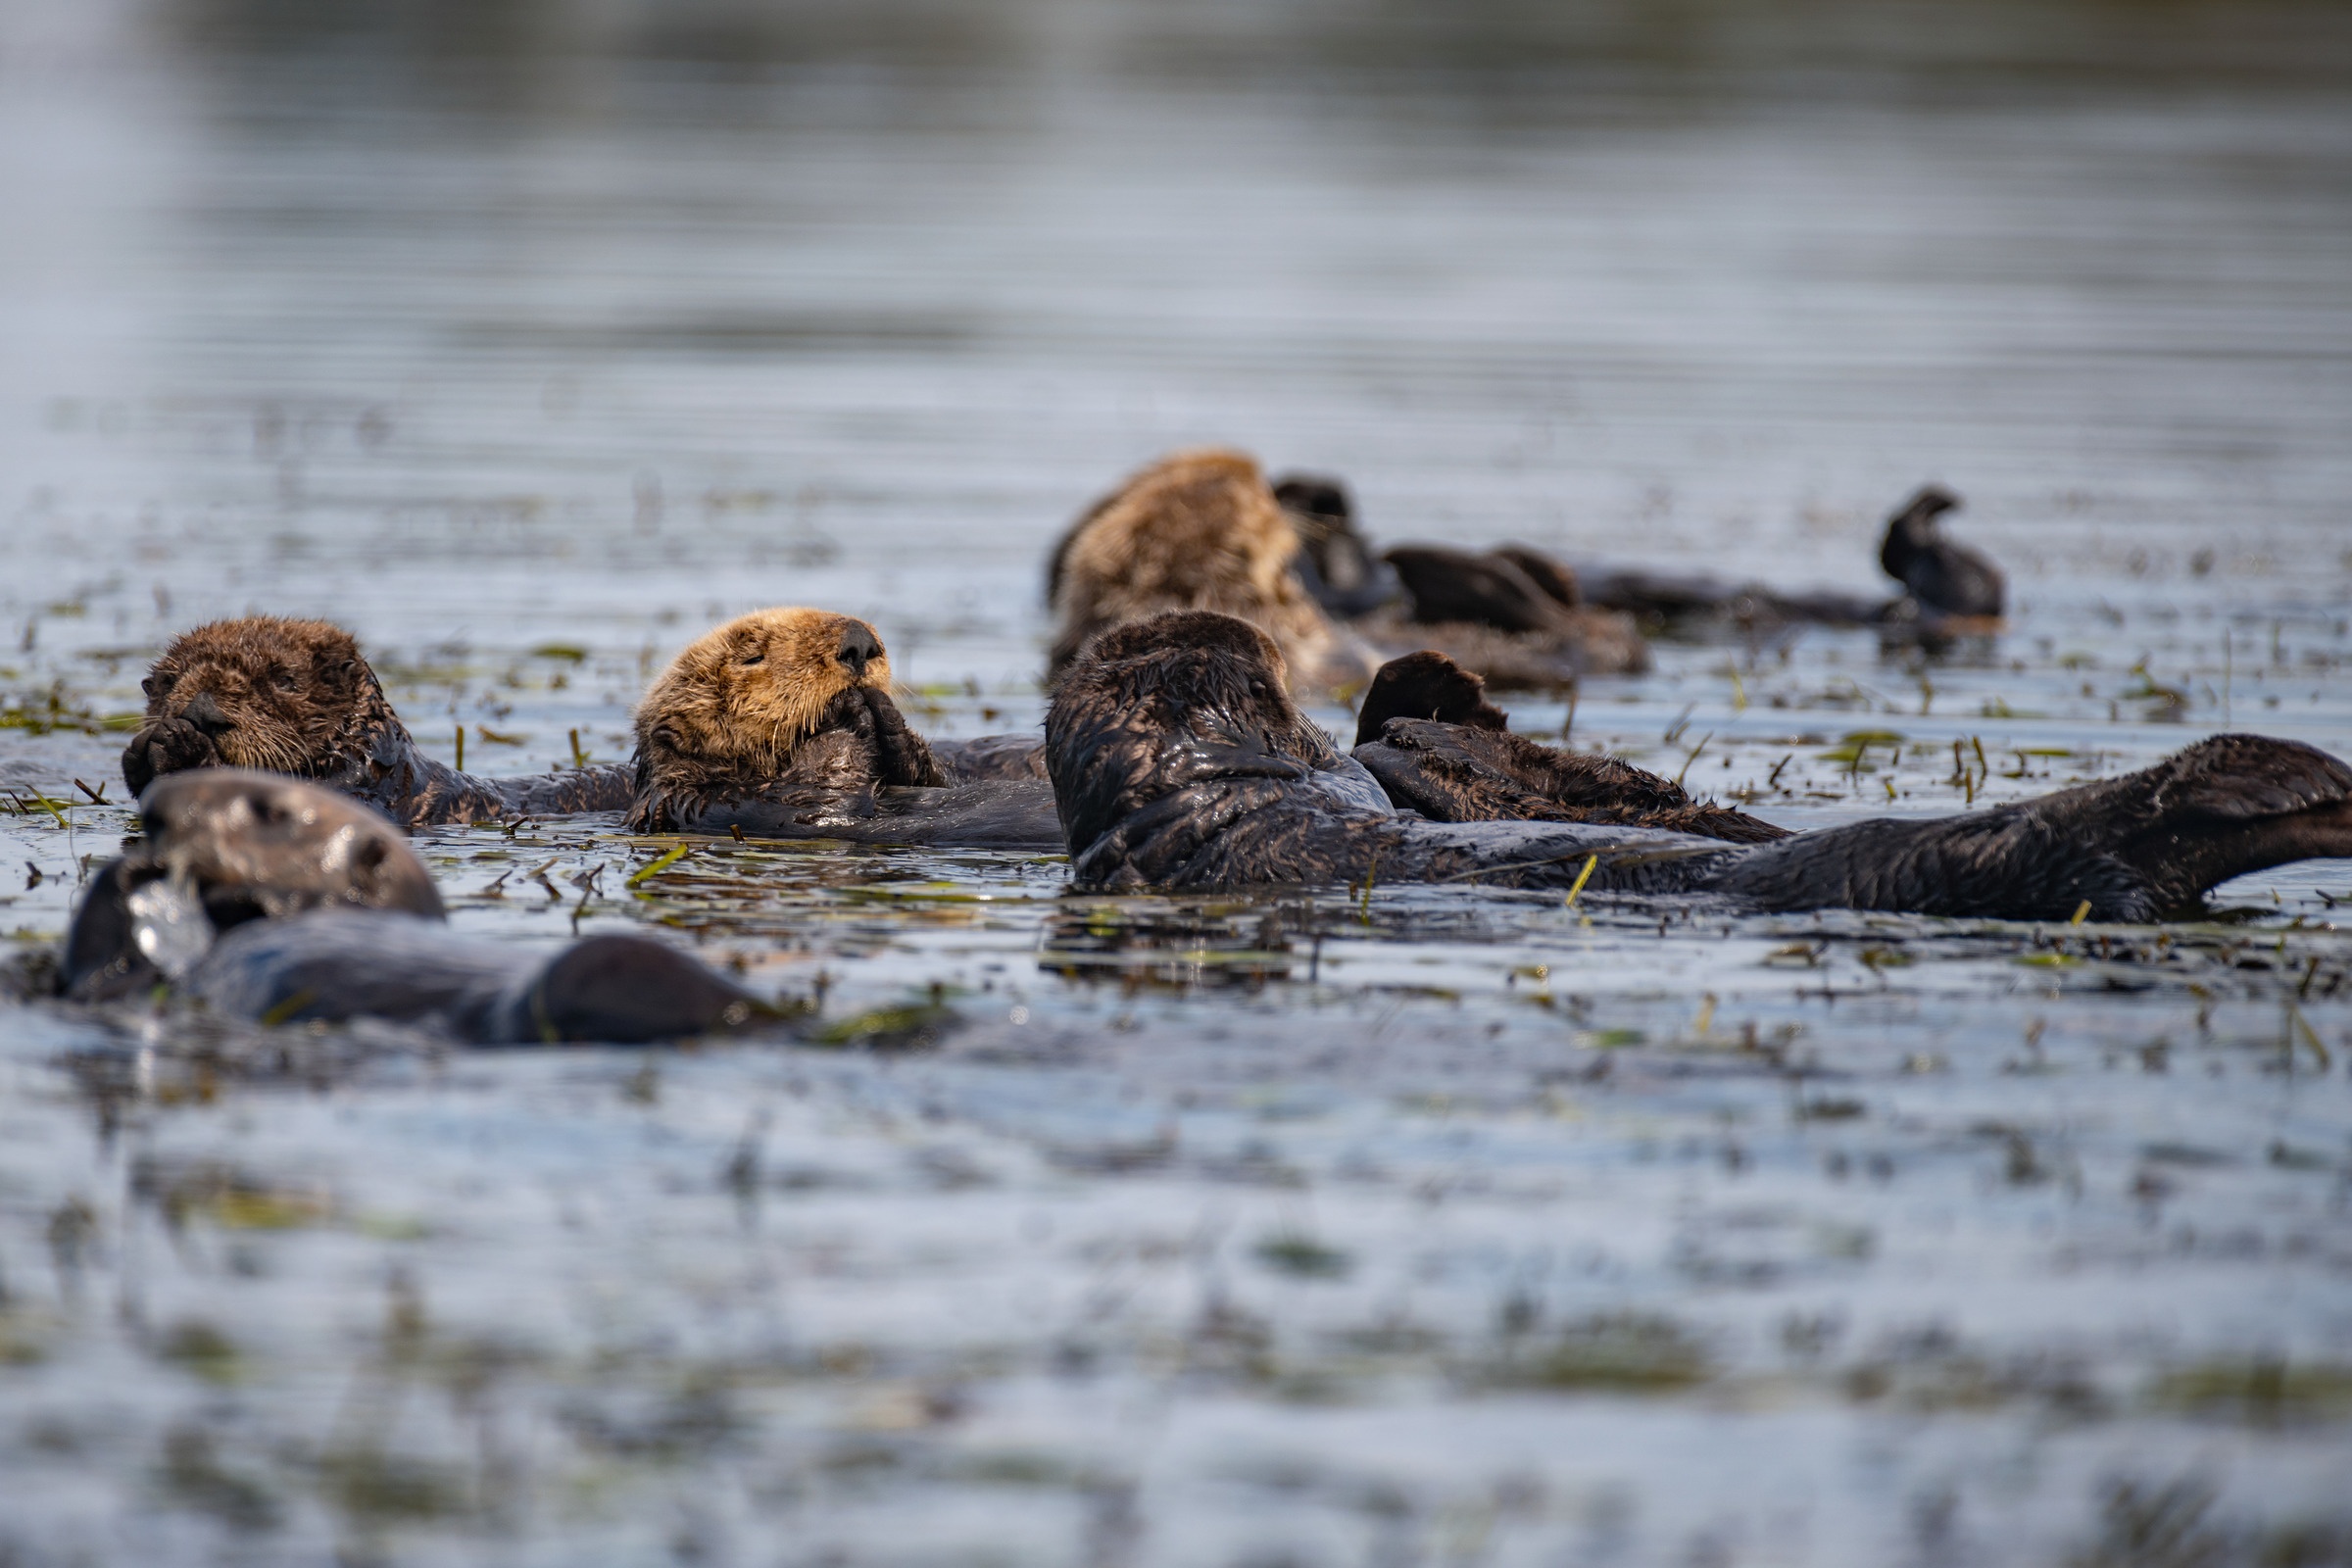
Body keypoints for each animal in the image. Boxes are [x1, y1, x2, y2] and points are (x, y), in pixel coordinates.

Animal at [628, 607, 1061, 848]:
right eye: (752, 656)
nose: (859, 642)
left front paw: (891, 724)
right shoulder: (724, 804)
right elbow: (821, 795)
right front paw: (850, 712)